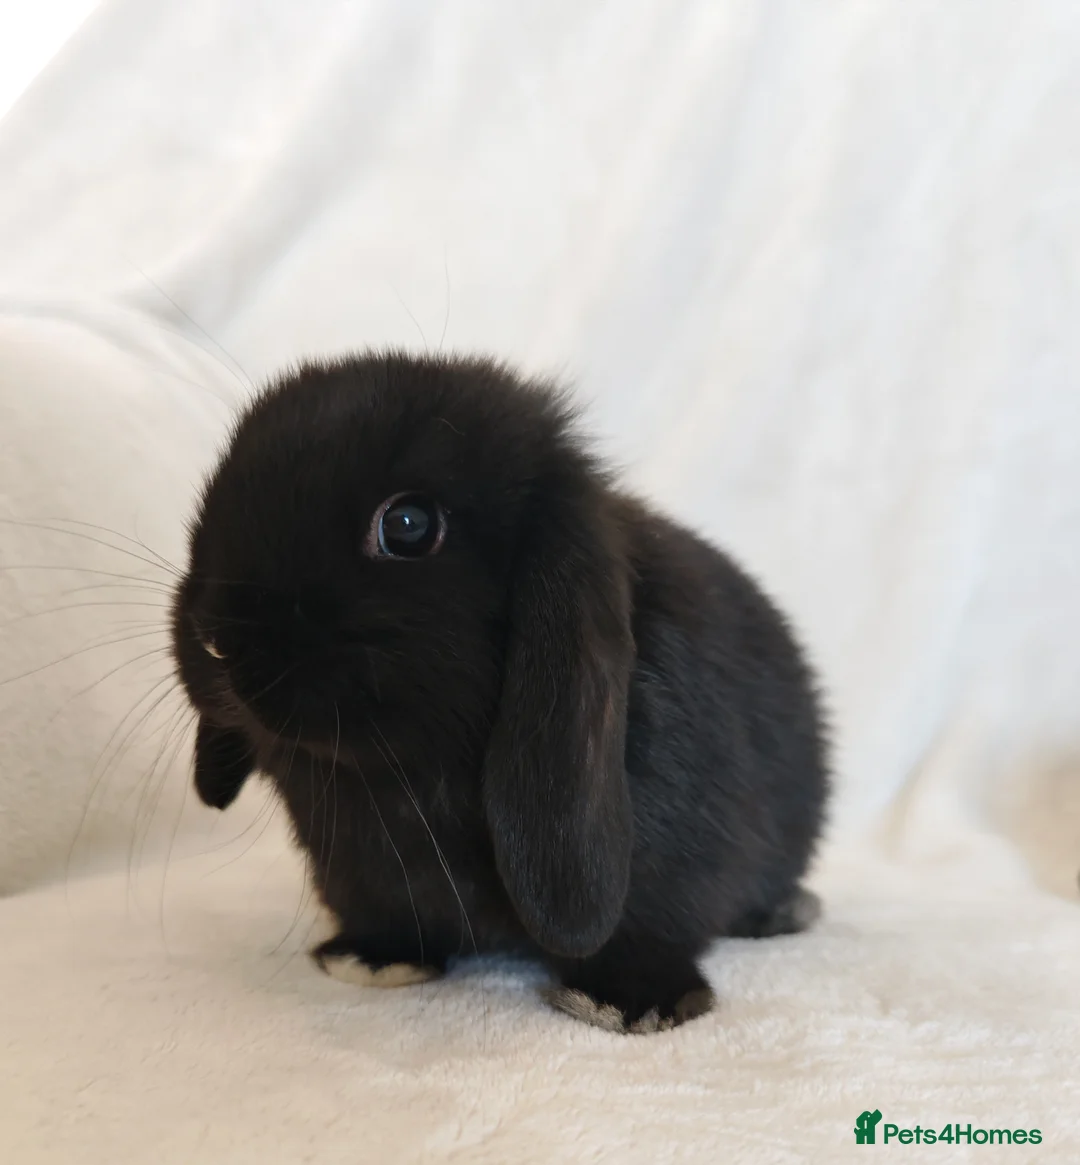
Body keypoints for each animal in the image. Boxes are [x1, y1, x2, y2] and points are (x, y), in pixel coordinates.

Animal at [171, 351, 829, 1034]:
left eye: (407, 525)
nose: (214, 641)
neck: (393, 780)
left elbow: (651, 930)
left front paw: (630, 1002)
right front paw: (374, 957)